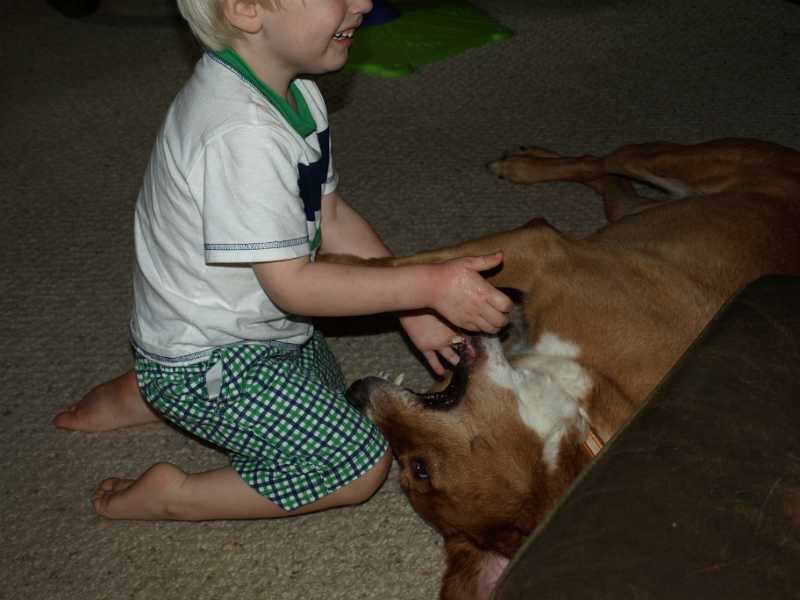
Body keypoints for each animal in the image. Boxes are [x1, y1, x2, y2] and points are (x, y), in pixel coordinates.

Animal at [338, 138, 800, 599]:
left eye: (417, 469)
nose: (354, 391)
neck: (583, 400)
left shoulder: (541, 249)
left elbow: (409, 266)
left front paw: (338, 260)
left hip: (671, 163)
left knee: (609, 161)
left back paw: (527, 164)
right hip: (642, 198)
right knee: (605, 177)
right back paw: (529, 160)